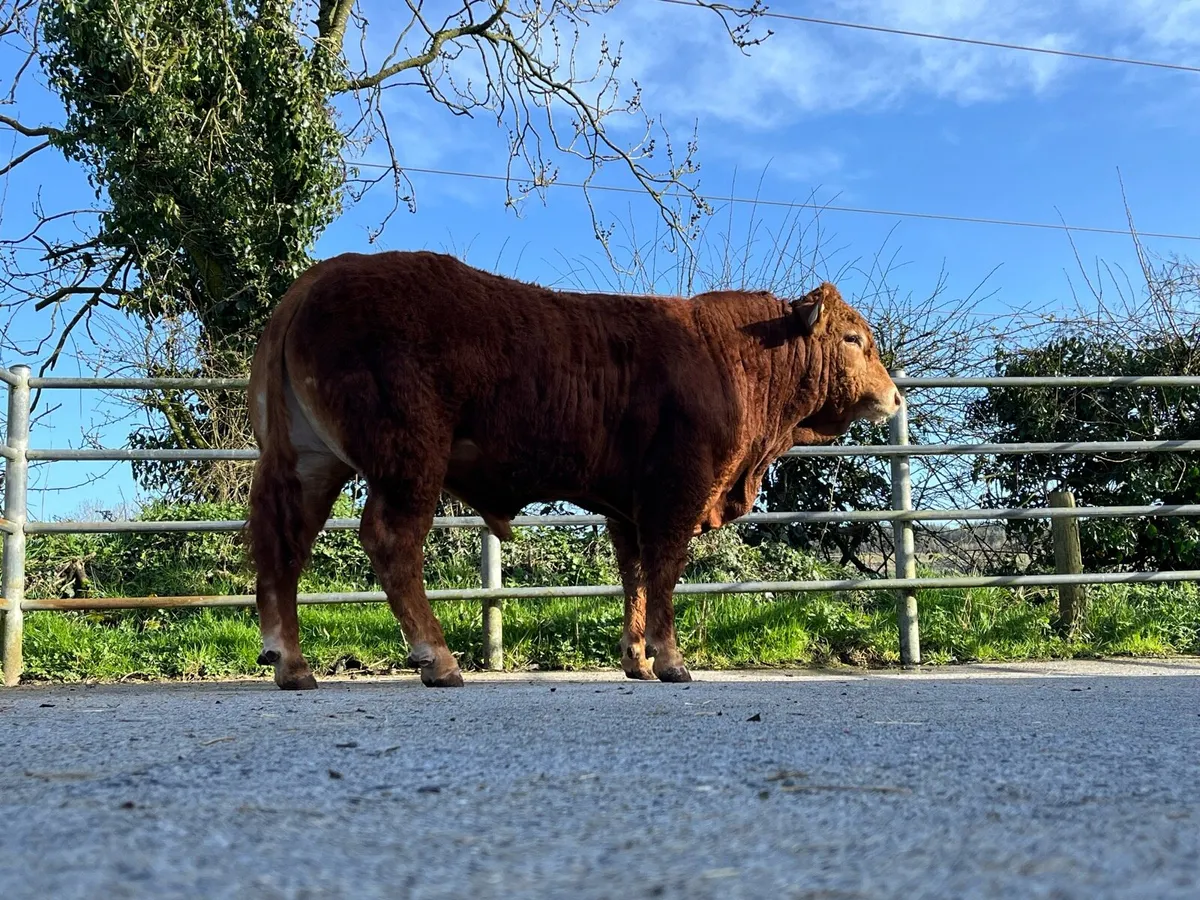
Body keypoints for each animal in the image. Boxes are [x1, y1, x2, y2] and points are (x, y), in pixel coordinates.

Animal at [246, 250, 900, 690]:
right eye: (853, 338)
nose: (894, 396)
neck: (732, 357)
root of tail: (318, 279)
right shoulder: (675, 491)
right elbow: (664, 573)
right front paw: (671, 659)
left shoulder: (626, 507)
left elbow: (635, 578)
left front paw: (636, 659)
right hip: (410, 458)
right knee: (390, 541)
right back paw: (438, 659)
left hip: (309, 460)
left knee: (282, 542)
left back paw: (292, 664)